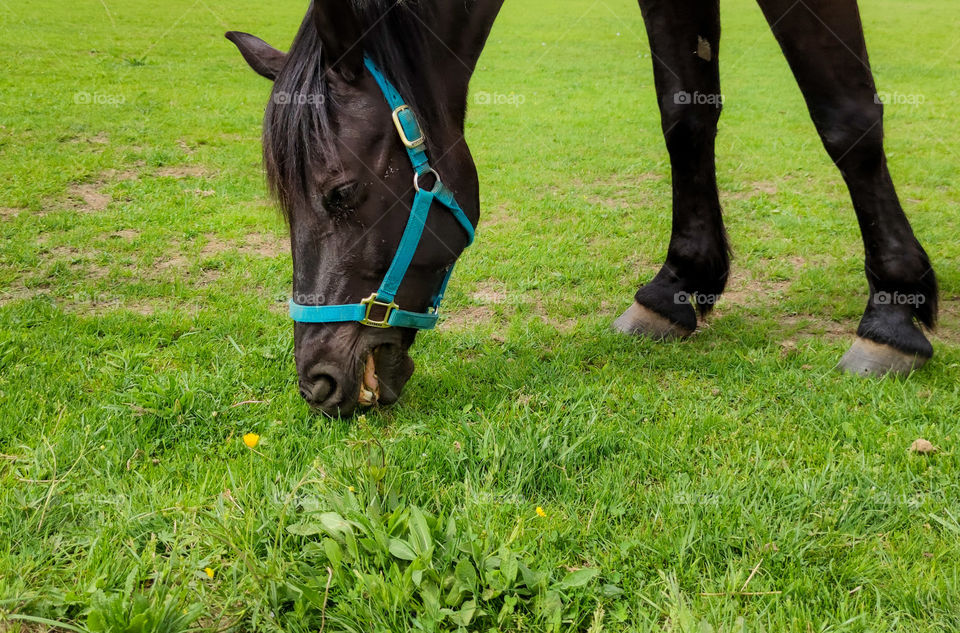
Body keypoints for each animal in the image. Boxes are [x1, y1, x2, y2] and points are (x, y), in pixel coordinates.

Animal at [227, 0, 936, 414]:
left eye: (340, 192)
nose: (317, 382)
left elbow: (845, 116)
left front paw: (893, 313)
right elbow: (685, 112)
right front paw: (677, 286)